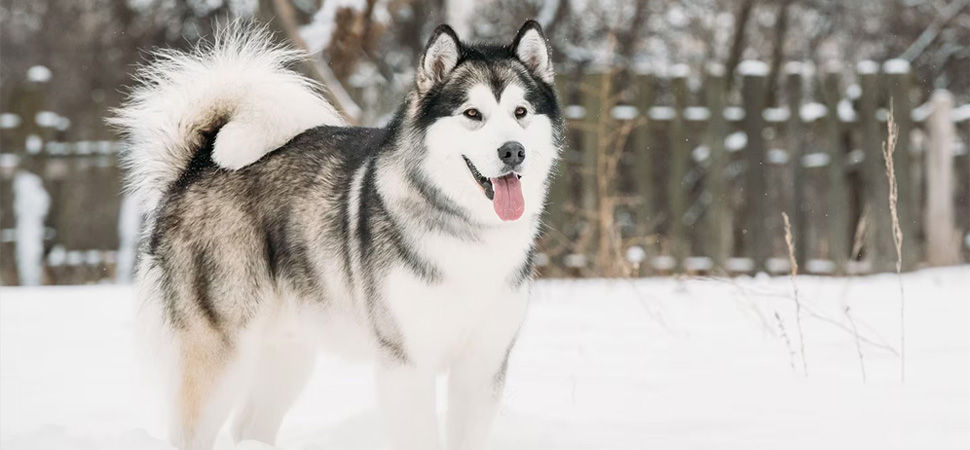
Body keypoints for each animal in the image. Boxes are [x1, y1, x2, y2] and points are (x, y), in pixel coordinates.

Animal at [112, 20, 564, 450]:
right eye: (472, 114)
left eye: (521, 111)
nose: (513, 151)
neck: (468, 231)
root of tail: (197, 167)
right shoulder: (406, 364)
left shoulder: (483, 366)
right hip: (220, 352)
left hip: (289, 351)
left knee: (248, 426)